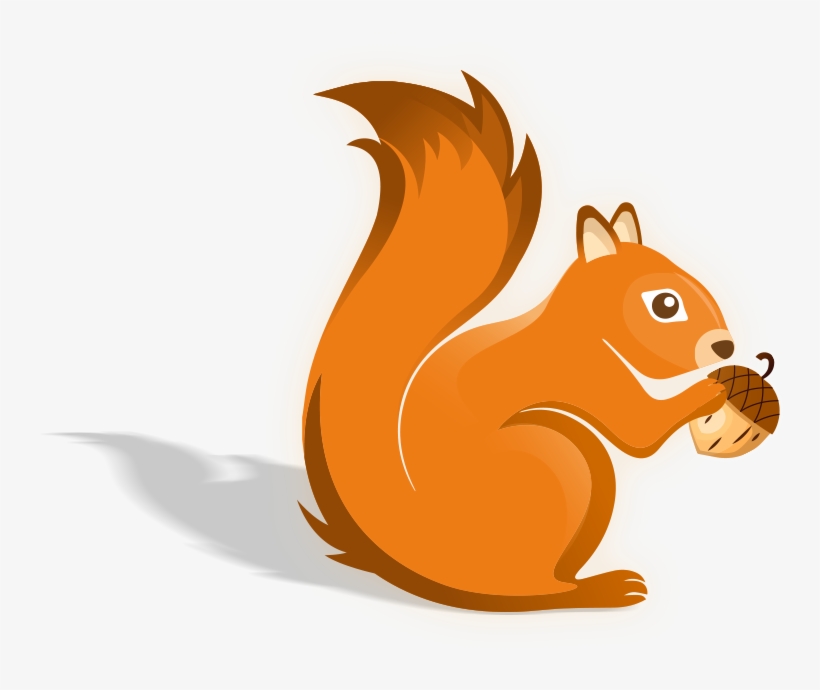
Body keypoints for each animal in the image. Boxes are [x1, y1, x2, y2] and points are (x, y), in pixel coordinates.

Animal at [300, 73, 733, 611]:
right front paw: (714, 389)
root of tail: (430, 549)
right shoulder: (588, 370)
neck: (576, 323)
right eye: (665, 304)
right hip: (558, 466)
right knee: (539, 588)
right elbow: (639, 433)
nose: (723, 347)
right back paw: (600, 589)